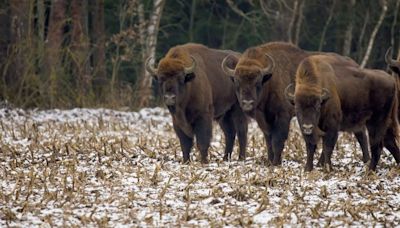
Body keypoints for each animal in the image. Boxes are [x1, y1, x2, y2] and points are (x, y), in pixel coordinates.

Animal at [222, 41, 368, 166]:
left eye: (258, 82)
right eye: (237, 82)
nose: (247, 103)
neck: (270, 80)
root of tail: (356, 66)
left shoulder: (282, 116)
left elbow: (278, 140)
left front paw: (276, 163)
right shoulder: (263, 119)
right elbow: (268, 140)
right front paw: (270, 161)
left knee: (358, 134)